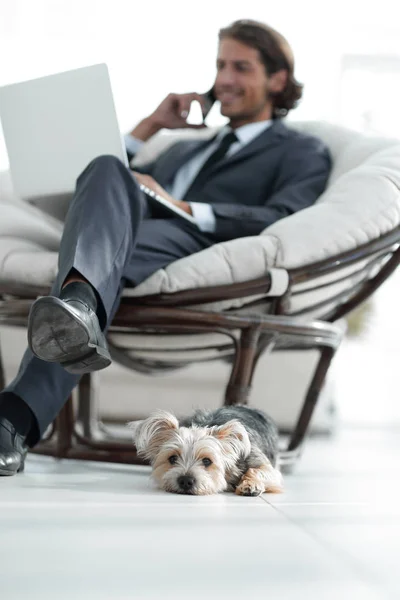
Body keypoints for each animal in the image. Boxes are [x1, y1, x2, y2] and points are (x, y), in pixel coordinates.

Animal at [130, 408, 282, 496]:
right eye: (172, 459)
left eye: (207, 461)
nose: (185, 481)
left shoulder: (266, 467)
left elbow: (257, 470)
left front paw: (250, 484)